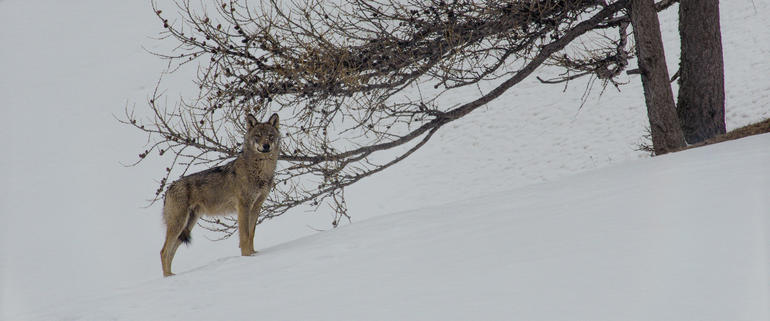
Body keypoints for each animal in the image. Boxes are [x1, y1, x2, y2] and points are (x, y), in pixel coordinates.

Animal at [159, 112, 280, 276]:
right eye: (258, 136)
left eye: (270, 136)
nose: (266, 146)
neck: (260, 170)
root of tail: (169, 188)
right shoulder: (243, 206)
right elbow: (245, 236)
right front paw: (247, 257)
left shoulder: (256, 206)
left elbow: (252, 234)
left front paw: (253, 254)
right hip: (179, 224)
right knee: (164, 252)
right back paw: (168, 277)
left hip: (187, 226)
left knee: (170, 252)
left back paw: (171, 276)